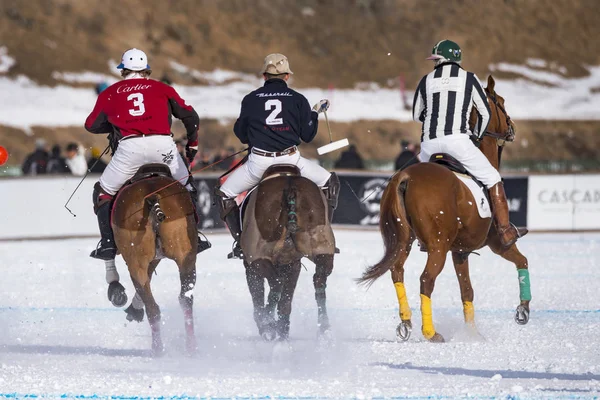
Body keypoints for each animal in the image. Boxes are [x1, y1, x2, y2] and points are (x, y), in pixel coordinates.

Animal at [110, 164, 197, 354]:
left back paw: (157, 350)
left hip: (135, 261)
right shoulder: (157, 256)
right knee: (185, 299)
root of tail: (152, 197)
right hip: (185, 256)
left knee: (152, 307)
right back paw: (190, 348)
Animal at [240, 164, 336, 342]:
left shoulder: (251, 264)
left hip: (257, 254)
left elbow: (258, 292)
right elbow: (285, 301)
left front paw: (268, 326)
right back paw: (324, 328)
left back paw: (268, 323)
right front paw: (282, 330)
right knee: (319, 279)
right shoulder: (292, 263)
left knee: (275, 284)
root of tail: (290, 187)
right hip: (322, 245)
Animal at [356, 76, 528, 342]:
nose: (512, 128)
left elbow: (467, 290)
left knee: (397, 271)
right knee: (426, 279)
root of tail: (405, 177)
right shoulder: (496, 243)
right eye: (500, 101)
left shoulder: (460, 251)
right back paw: (430, 332)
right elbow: (522, 261)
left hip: (405, 239)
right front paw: (523, 310)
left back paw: (406, 322)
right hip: (438, 245)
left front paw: (473, 333)